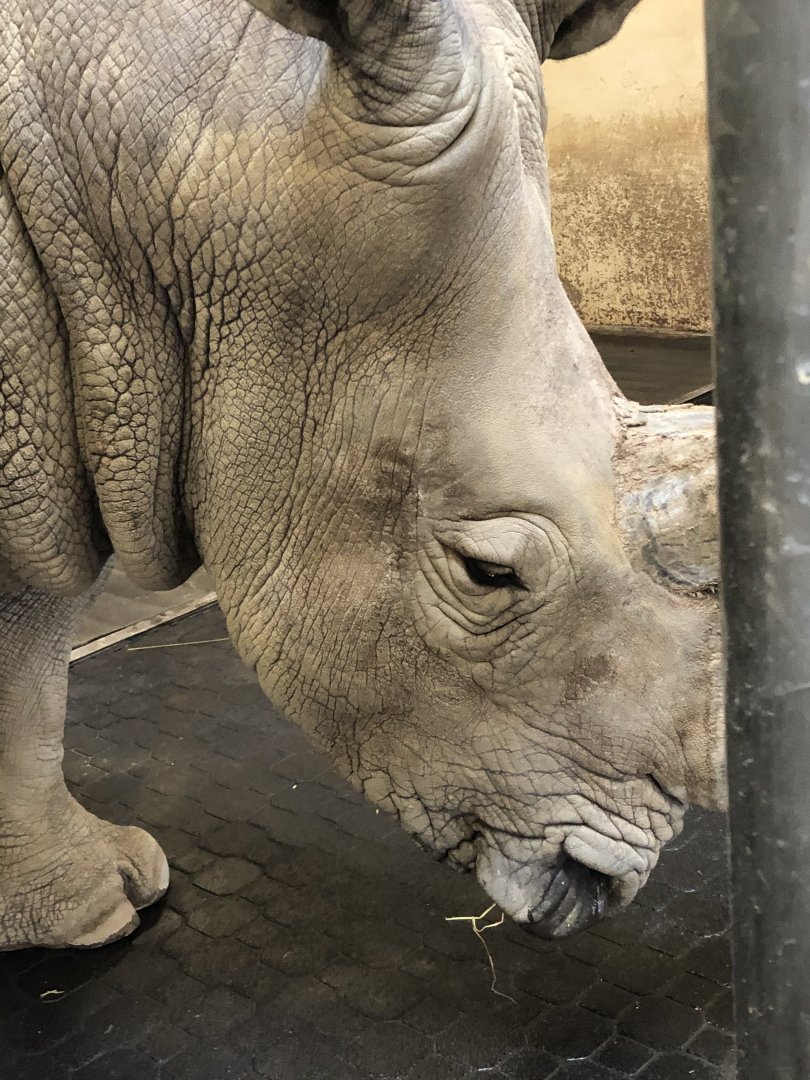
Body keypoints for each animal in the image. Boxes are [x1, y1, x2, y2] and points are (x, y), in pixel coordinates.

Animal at [0, 0, 724, 951]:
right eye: (486, 572)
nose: (593, 890)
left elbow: (33, 648)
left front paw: (97, 899)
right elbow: (26, 652)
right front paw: (95, 914)